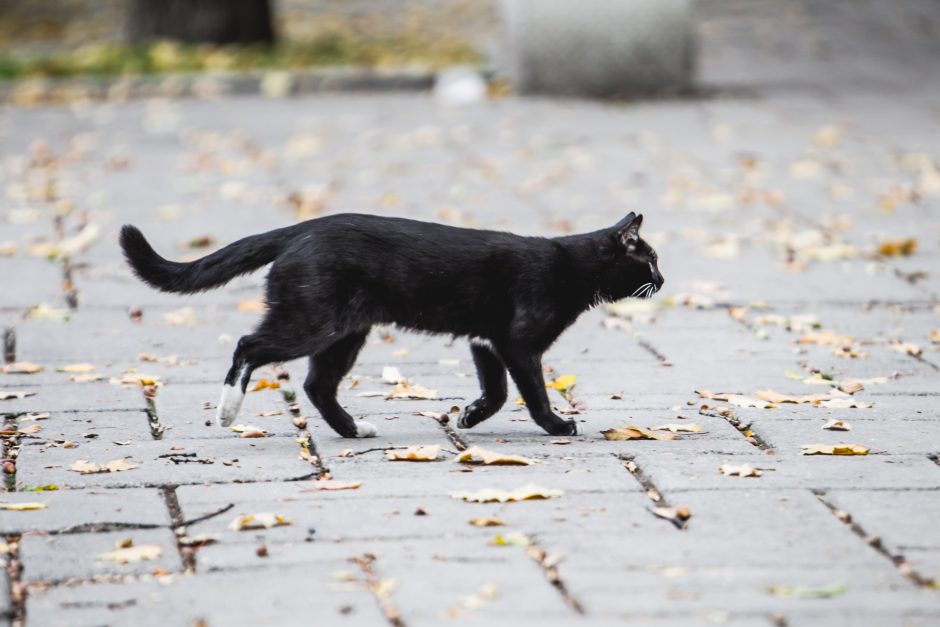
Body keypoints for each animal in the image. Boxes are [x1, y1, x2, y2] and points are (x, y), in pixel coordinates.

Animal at [119, 213, 660, 440]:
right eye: (651, 258)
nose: (663, 279)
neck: (569, 265)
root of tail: (300, 229)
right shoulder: (517, 341)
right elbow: (532, 392)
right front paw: (557, 425)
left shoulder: (486, 341)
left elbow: (498, 391)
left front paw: (469, 417)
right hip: (314, 322)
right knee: (248, 345)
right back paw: (228, 410)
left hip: (345, 332)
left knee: (317, 385)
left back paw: (354, 429)